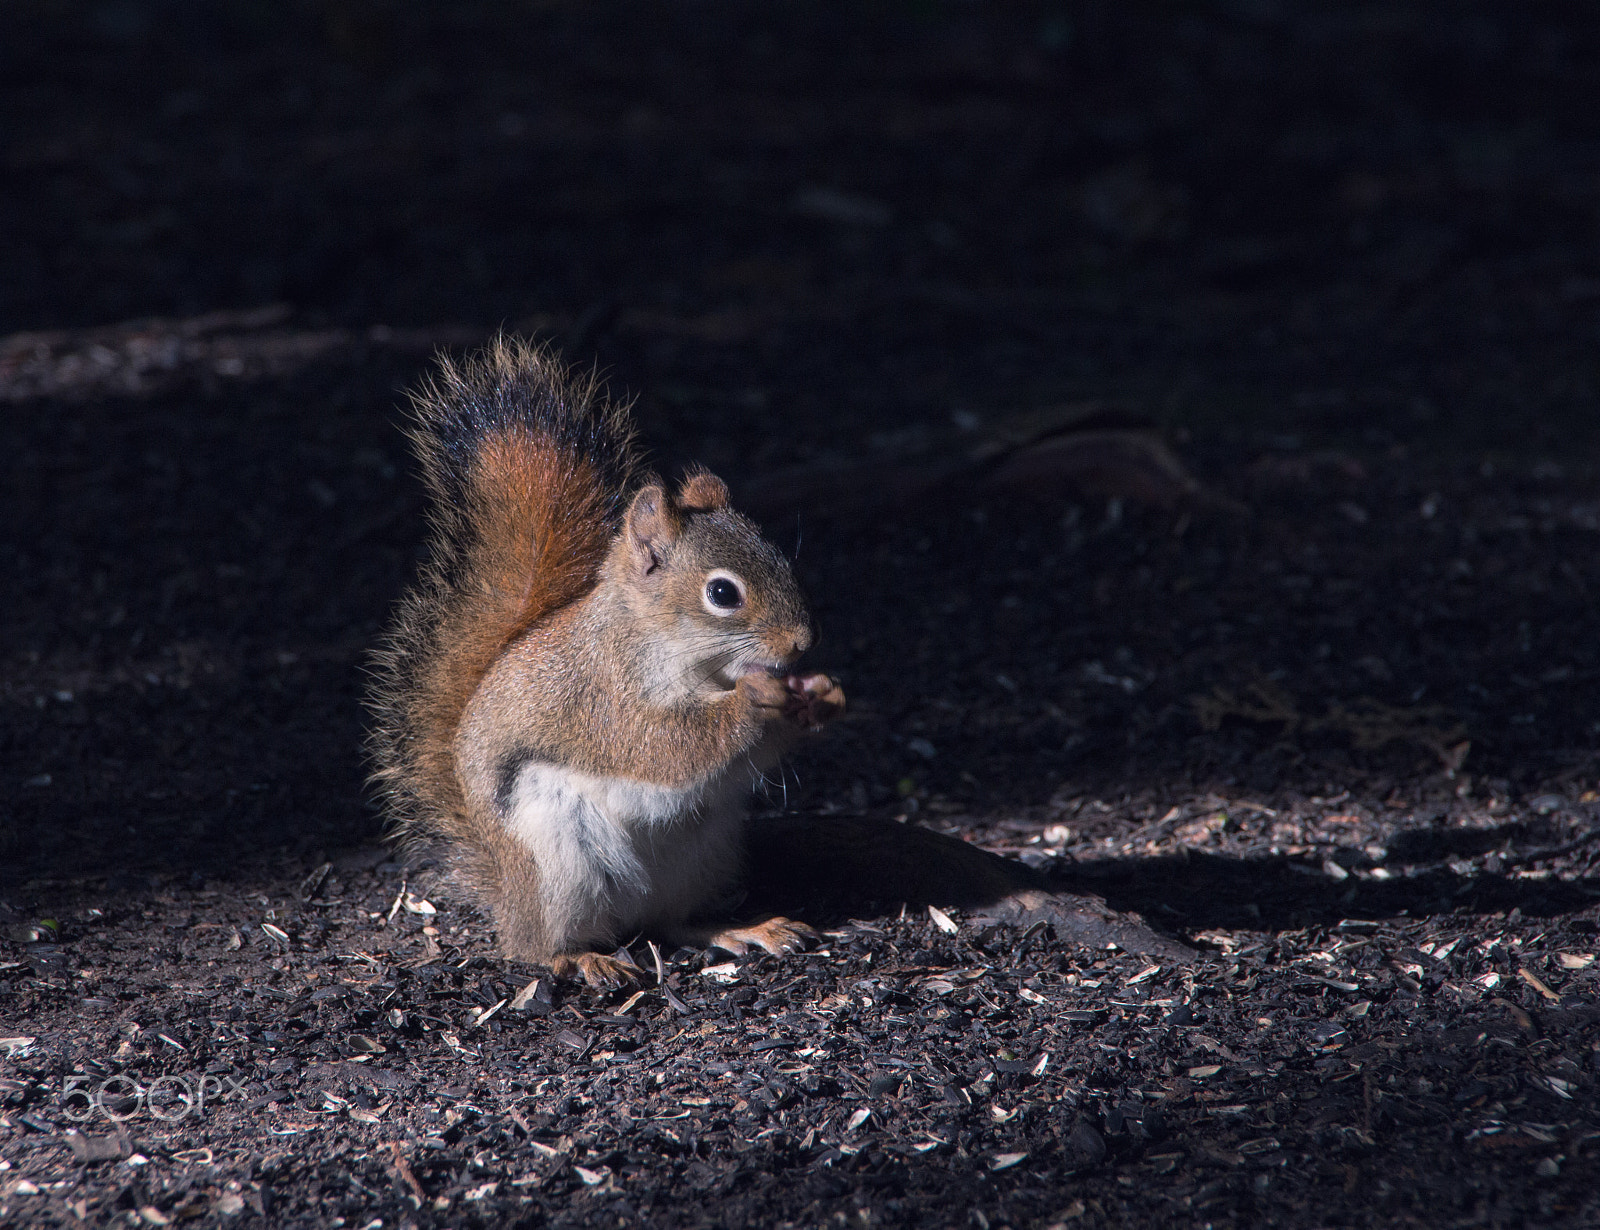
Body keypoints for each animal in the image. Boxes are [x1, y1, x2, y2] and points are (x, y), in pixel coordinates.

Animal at [367, 338, 846, 987]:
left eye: (782, 560)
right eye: (723, 593)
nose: (802, 641)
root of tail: (505, 892)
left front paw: (822, 693)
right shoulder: (604, 699)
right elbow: (667, 744)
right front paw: (757, 699)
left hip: (705, 854)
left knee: (674, 923)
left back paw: (744, 929)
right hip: (557, 867)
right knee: (534, 947)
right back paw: (579, 957)